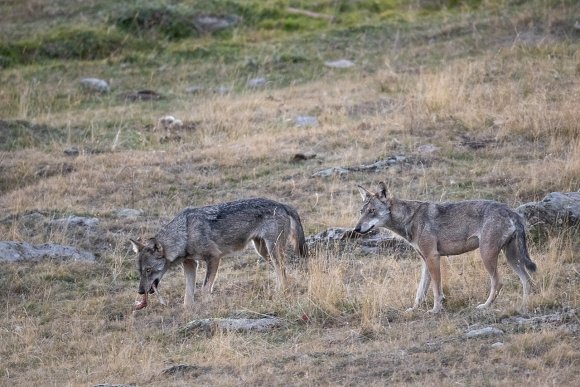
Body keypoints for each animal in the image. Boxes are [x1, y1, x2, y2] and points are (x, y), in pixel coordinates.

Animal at [129, 199, 306, 310]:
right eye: (140, 271)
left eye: (148, 270)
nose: (140, 292)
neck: (185, 235)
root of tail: (282, 204)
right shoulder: (190, 263)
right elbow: (188, 294)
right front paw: (189, 310)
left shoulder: (214, 257)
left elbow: (205, 289)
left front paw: (207, 306)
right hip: (263, 252)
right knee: (283, 271)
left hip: (272, 251)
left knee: (282, 270)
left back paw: (280, 293)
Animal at [356, 183, 536, 316]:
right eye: (362, 212)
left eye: (372, 211)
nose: (357, 229)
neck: (410, 219)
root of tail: (511, 211)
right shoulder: (425, 261)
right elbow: (420, 292)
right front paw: (414, 310)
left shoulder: (433, 257)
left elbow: (437, 290)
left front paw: (436, 310)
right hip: (511, 257)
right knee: (527, 281)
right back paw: (523, 307)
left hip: (487, 255)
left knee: (499, 282)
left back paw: (485, 306)